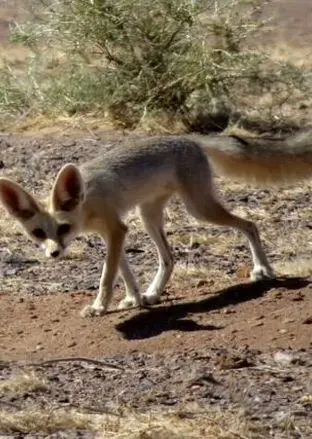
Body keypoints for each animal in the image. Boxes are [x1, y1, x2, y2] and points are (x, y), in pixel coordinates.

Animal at [0, 132, 312, 318]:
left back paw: (263, 270)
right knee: (170, 258)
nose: (54, 253)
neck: (86, 200)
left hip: (199, 210)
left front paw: (100, 306)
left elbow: (107, 276)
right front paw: (134, 298)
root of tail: (187, 138)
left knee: (250, 225)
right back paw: (152, 294)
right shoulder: (112, 234)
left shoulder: (116, 230)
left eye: (63, 228)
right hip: (148, 216)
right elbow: (123, 272)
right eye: (39, 233)